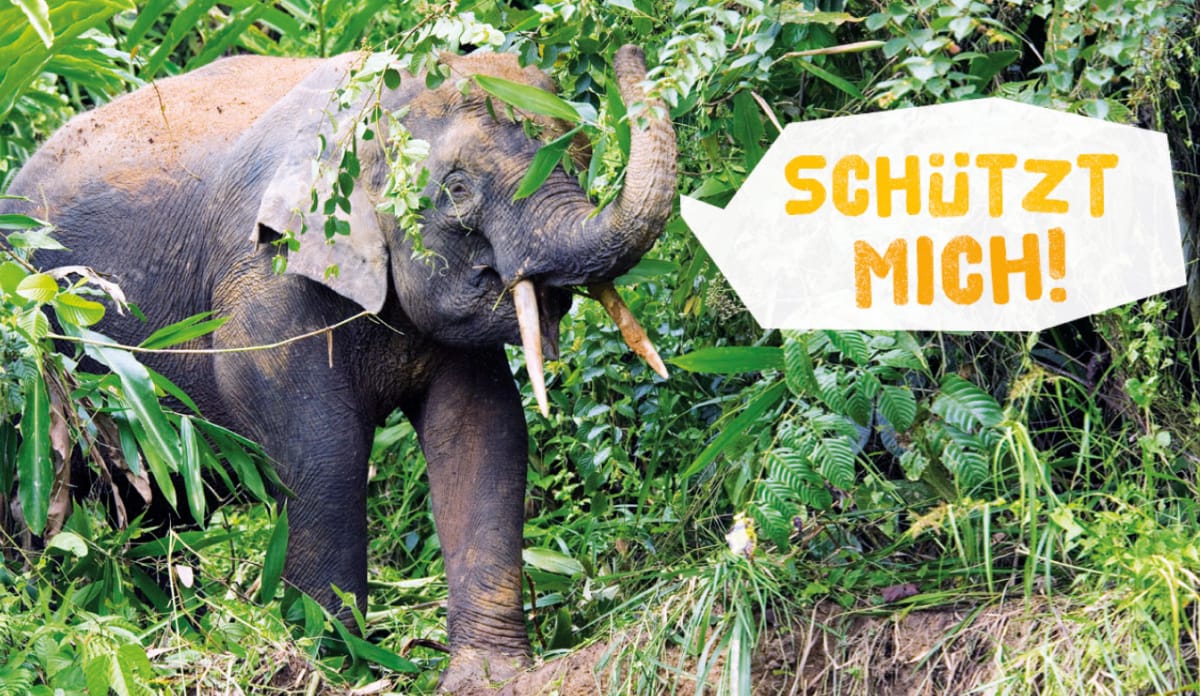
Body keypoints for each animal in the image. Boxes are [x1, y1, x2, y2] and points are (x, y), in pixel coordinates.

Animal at [1, 44, 675, 689]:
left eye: (581, 157)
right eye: (458, 190)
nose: (632, 51)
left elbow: (482, 433)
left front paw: (488, 676)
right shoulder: (264, 282)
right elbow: (323, 447)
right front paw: (330, 668)